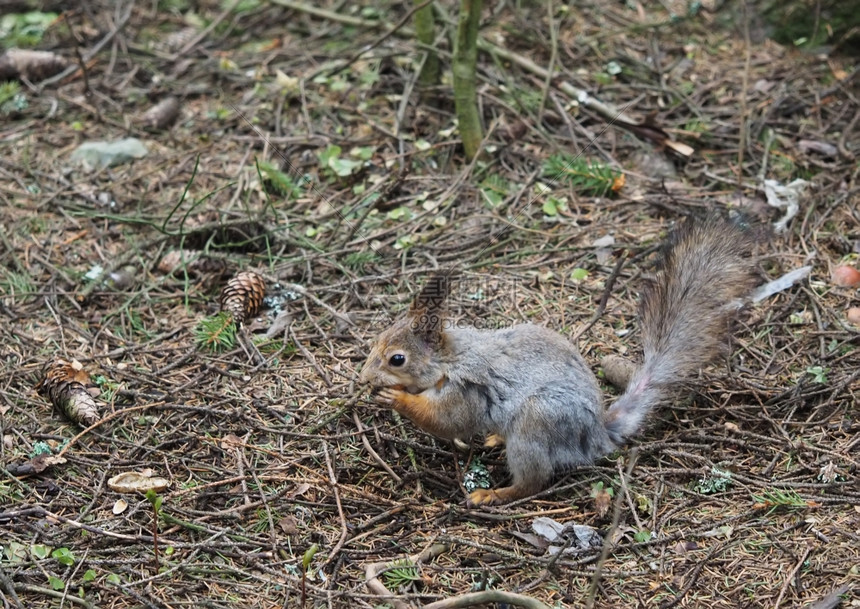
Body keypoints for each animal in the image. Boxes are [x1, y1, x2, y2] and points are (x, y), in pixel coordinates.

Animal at [360, 216, 756, 506]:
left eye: (397, 359)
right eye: (377, 340)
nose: (364, 378)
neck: (448, 360)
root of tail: (596, 435)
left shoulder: (466, 391)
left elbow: (446, 420)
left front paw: (396, 398)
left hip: (537, 423)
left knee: (534, 481)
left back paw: (493, 494)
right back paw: (495, 440)